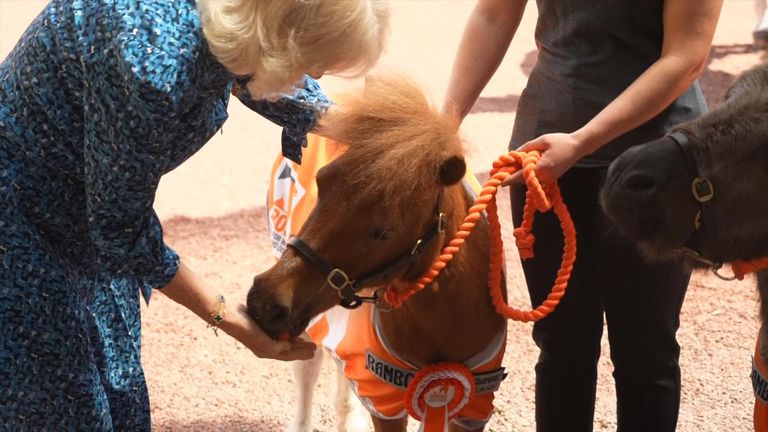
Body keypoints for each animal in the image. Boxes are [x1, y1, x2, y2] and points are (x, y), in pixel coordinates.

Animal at [248, 76, 504, 430]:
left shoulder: (473, 405)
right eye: (321, 182)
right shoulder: (385, 401)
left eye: (385, 231)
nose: (263, 301)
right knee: (309, 371)